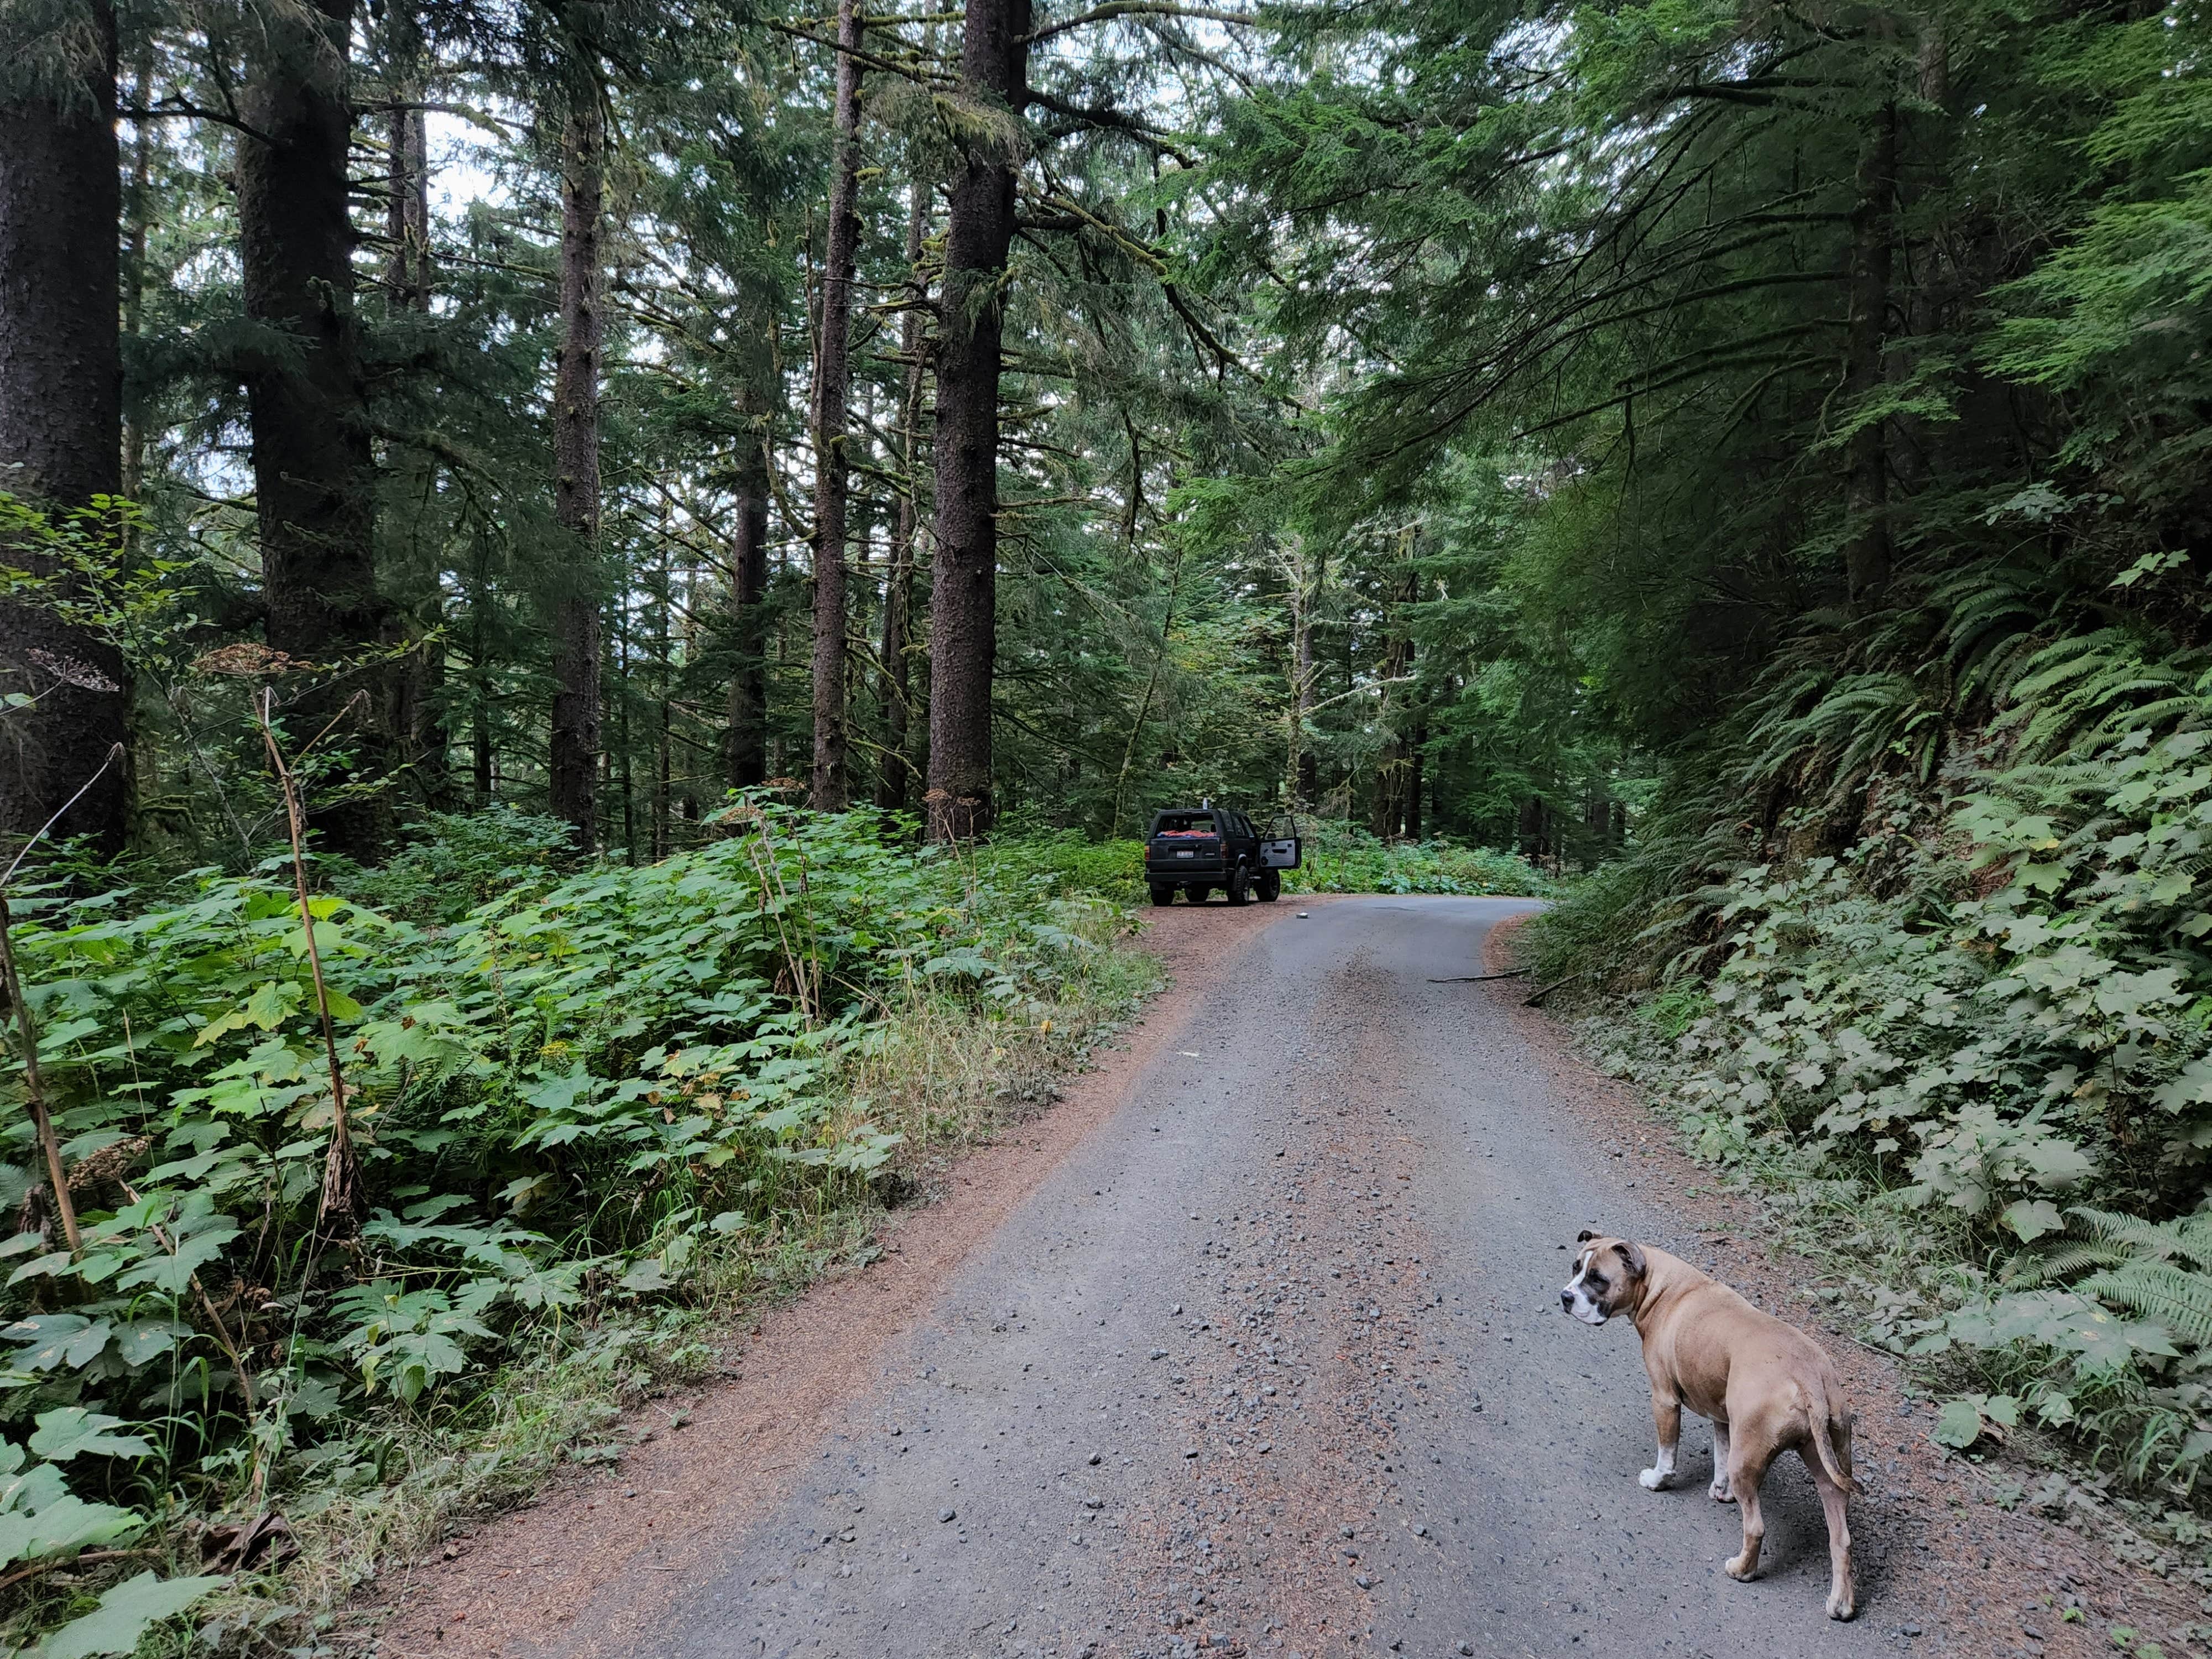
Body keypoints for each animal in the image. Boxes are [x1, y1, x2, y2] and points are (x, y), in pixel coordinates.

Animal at [1566, 1239, 1858, 1628]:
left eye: (1598, 1278)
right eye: (1575, 1268)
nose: (1565, 1297)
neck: (1660, 1286)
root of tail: (1808, 1377)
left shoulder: (1664, 1400)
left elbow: (1667, 1450)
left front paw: (1658, 1480)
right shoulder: (1721, 1416)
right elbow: (1720, 1452)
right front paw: (1721, 1491)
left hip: (1749, 1461)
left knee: (1756, 1527)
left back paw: (1742, 1570)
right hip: (1830, 1471)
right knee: (1841, 1540)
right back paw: (1841, 1604)